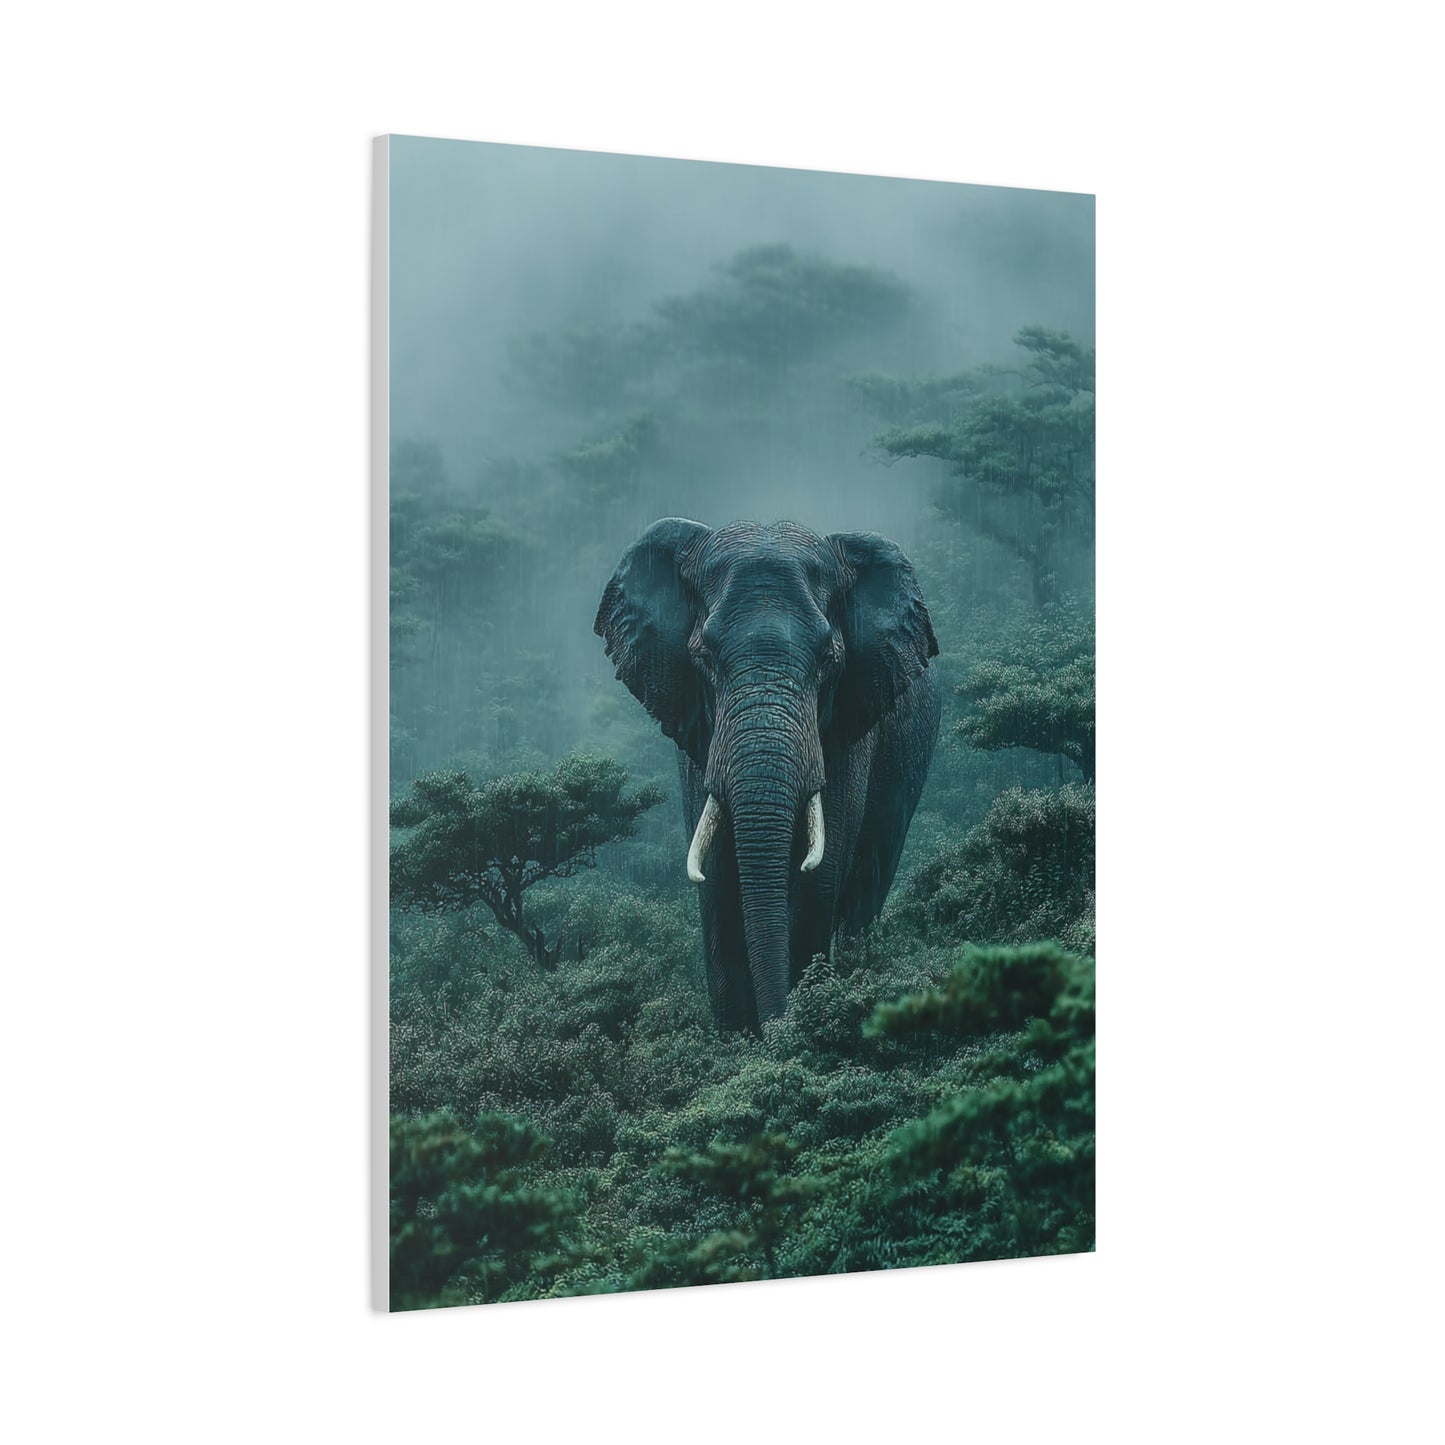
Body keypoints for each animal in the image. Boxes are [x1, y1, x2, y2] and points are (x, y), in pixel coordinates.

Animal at [595, 518, 941, 1029]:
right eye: (704, 659)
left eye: (829, 660)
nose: (777, 1026)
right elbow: (717, 878)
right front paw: (741, 1041)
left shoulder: (846, 725)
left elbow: (821, 871)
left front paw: (795, 1027)